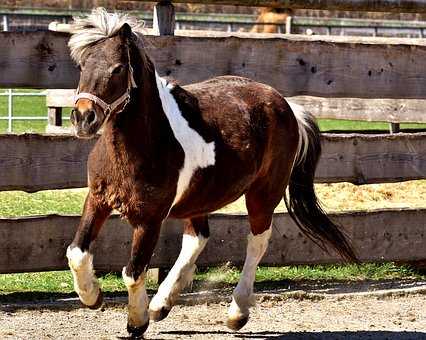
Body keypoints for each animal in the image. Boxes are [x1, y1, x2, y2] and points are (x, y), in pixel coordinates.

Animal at [65, 7, 356, 338]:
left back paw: (236, 313)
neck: (147, 141)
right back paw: (161, 305)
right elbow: (77, 253)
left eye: (117, 69)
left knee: (257, 242)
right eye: (83, 65)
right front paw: (93, 297)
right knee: (197, 238)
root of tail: (287, 106)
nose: (83, 118)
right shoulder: (97, 199)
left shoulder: (149, 218)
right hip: (199, 198)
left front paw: (136, 321)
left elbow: (134, 271)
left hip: (263, 194)